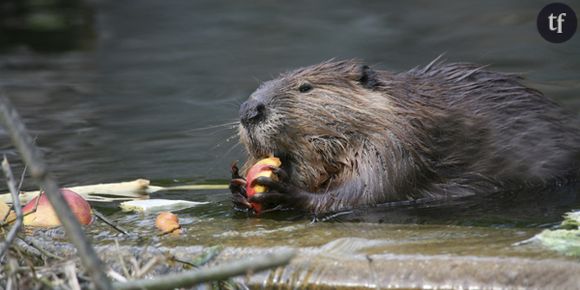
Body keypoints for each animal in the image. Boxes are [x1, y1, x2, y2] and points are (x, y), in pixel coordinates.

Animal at [229, 57, 576, 214]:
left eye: (305, 87)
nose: (249, 110)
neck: (400, 107)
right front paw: (237, 186)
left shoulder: (397, 143)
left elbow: (364, 192)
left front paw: (282, 190)